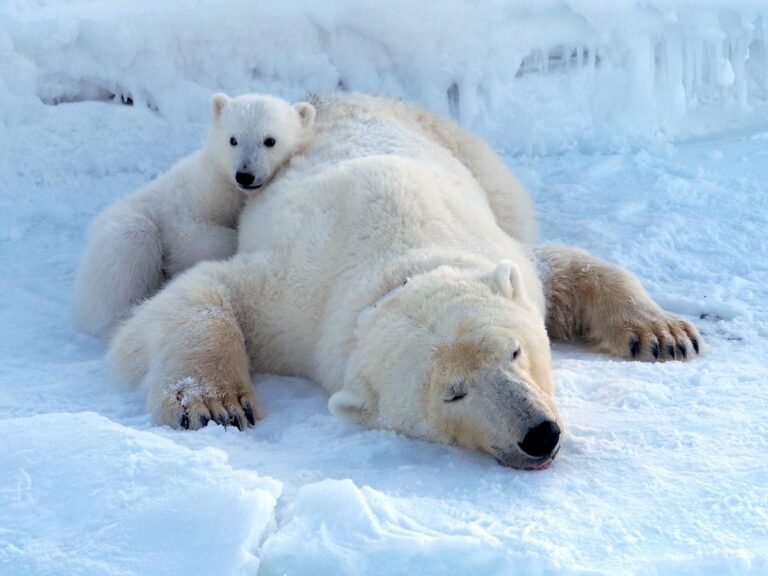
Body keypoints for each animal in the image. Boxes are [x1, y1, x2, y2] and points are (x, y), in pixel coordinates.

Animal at [73, 92, 316, 338]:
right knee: (129, 244)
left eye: (270, 140)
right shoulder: (192, 199)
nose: (244, 175)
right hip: (121, 227)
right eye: (233, 139)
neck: (228, 186)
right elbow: (190, 236)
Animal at [107, 93, 700, 470]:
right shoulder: (297, 300)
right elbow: (203, 294)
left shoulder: (491, 247)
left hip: (471, 155)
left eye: (514, 351)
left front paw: (663, 335)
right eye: (452, 394)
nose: (539, 435)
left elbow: (562, 267)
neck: (398, 259)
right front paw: (215, 405)